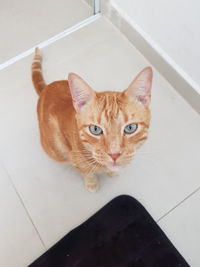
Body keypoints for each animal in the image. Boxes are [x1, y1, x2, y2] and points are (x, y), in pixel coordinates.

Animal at [32, 47, 152, 193]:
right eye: (95, 129)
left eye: (130, 128)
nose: (114, 154)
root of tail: (46, 88)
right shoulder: (76, 159)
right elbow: (86, 172)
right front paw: (92, 183)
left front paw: (112, 171)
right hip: (56, 150)